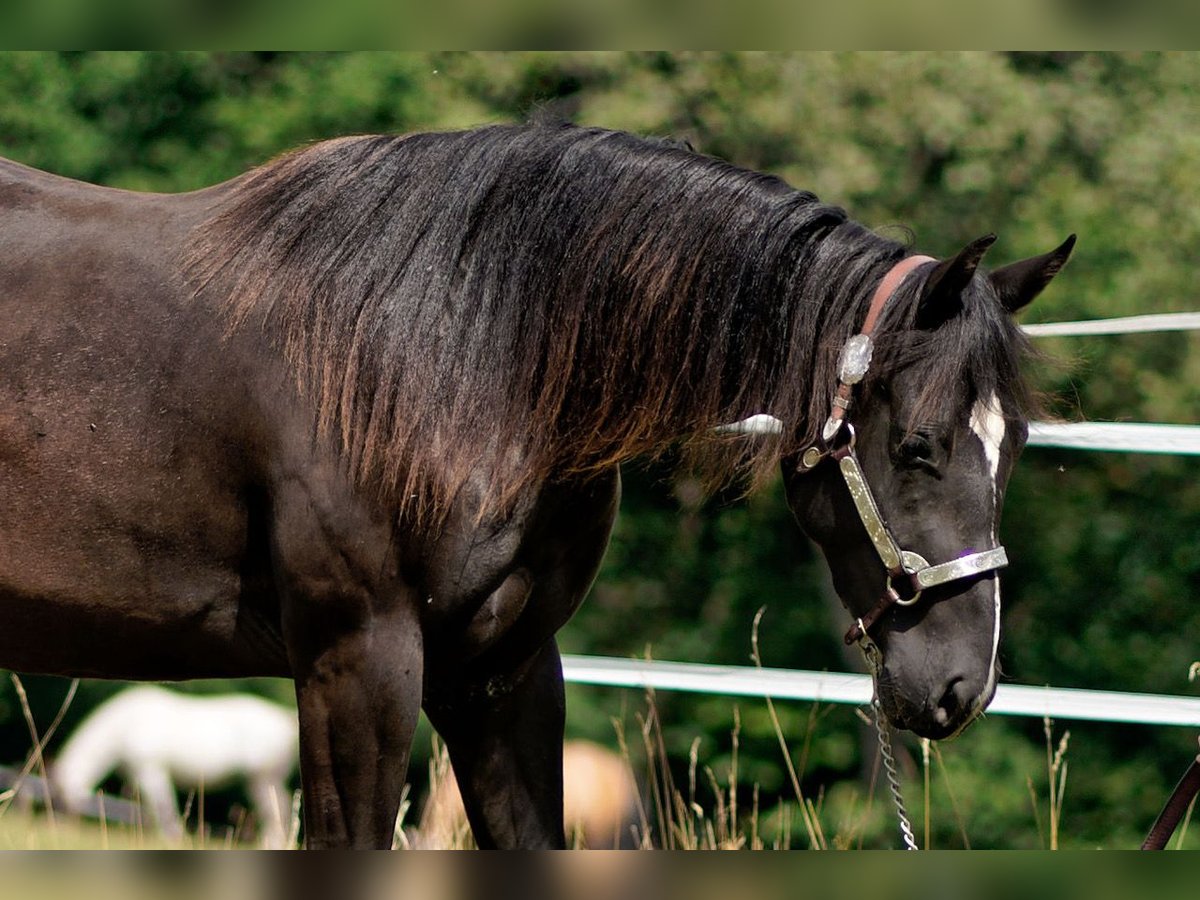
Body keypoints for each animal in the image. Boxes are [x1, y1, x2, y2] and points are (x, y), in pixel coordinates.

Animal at [51, 686, 297, 847]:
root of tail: (285, 720)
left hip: (262, 778)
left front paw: (174, 837)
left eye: (62, 796)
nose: (61, 825)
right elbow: (151, 809)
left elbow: (164, 806)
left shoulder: (151, 770)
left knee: (277, 810)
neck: (125, 726)